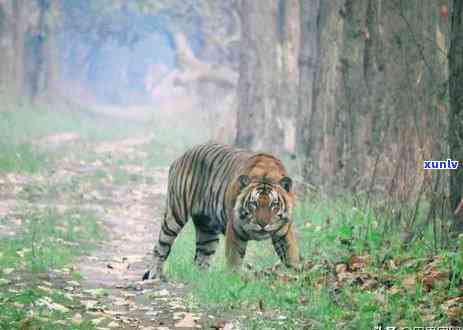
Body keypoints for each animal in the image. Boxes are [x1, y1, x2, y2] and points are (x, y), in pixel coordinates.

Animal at [143, 141, 300, 280]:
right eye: (252, 204)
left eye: (274, 205)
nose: (262, 224)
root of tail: (182, 156)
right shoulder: (235, 231)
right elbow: (234, 260)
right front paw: (234, 280)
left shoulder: (284, 232)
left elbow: (291, 255)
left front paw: (297, 277)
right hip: (175, 215)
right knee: (160, 246)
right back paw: (155, 274)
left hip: (207, 229)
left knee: (201, 256)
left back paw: (203, 280)